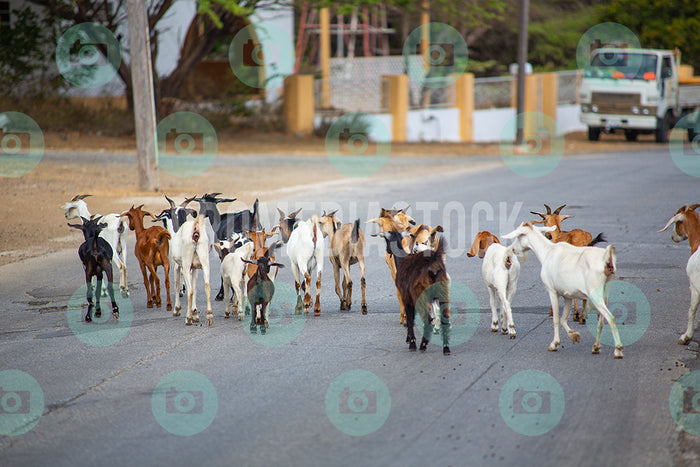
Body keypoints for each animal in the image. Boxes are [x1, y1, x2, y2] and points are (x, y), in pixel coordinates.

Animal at [500, 223, 620, 358]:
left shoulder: (552, 290)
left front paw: (555, 343)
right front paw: (574, 335)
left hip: (594, 293)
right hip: (605, 290)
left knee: (610, 317)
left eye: (519, 236)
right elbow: (563, 319)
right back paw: (596, 347)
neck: (547, 252)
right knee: (602, 319)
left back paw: (618, 349)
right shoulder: (567, 295)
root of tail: (606, 259)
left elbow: (556, 319)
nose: (513, 249)